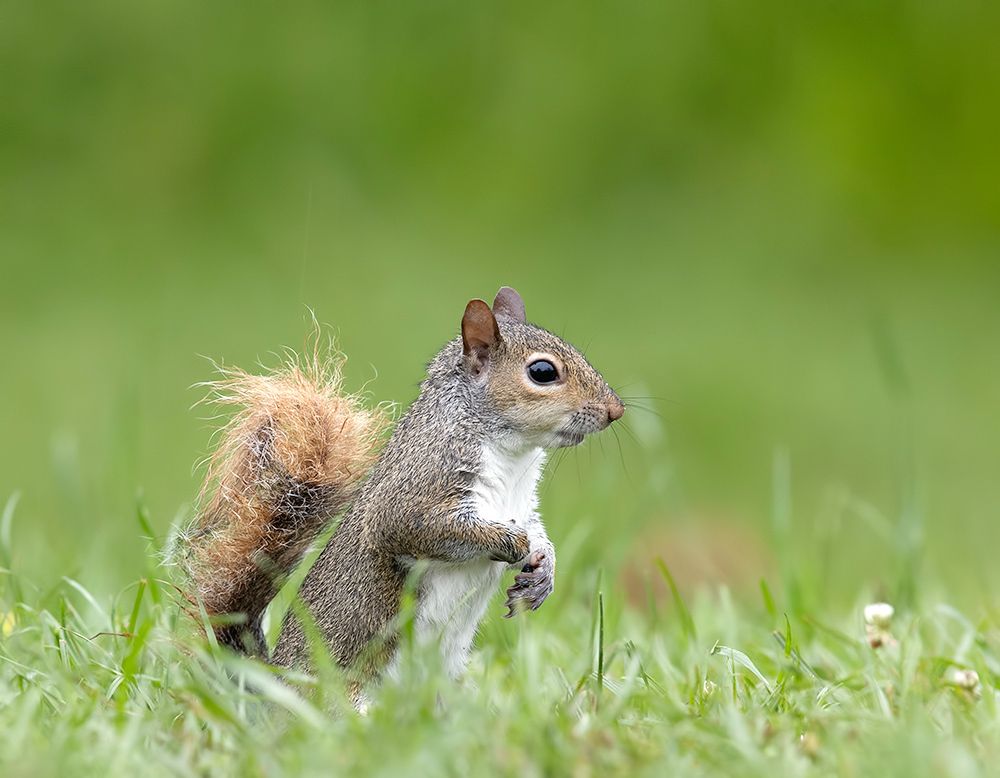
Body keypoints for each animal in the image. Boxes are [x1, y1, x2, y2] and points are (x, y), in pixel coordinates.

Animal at [180, 286, 624, 695]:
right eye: (543, 372)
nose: (615, 411)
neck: (513, 456)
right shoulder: (418, 486)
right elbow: (416, 528)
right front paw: (509, 542)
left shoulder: (524, 503)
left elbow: (538, 531)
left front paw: (543, 569)